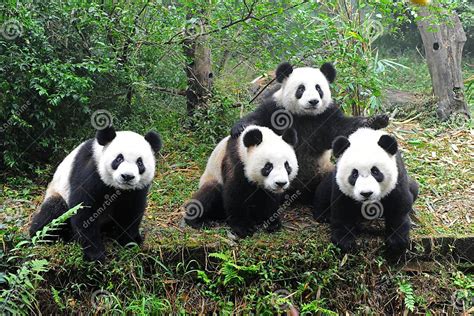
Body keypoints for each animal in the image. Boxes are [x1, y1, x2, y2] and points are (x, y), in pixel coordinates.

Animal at [30, 126, 163, 262]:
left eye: (139, 163)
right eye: (119, 159)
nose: (127, 176)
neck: (118, 188)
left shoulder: (137, 190)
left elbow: (130, 212)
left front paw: (129, 243)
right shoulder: (90, 171)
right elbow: (84, 210)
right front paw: (95, 255)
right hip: (57, 192)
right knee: (53, 212)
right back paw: (52, 236)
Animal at [231, 61, 390, 202]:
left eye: (318, 88)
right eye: (301, 88)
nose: (313, 101)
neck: (304, 116)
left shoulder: (326, 116)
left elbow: (343, 128)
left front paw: (378, 120)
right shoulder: (275, 108)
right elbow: (258, 119)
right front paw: (240, 129)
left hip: (323, 170)